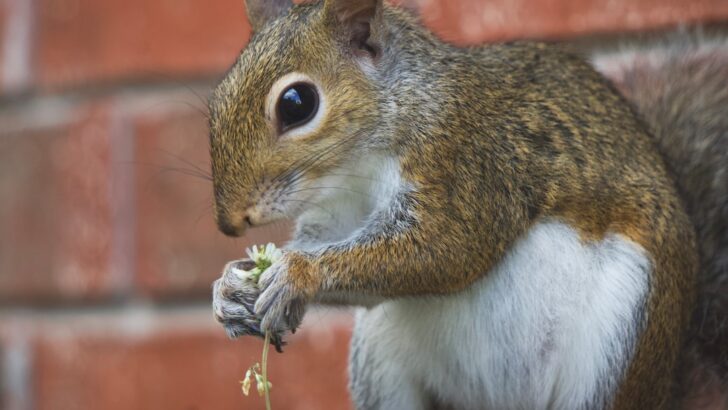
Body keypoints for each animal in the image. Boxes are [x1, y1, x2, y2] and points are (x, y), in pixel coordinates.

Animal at [209, 0, 727, 408]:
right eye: (217, 96)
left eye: (297, 103)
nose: (231, 224)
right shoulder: (338, 212)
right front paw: (231, 288)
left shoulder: (469, 162)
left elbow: (445, 250)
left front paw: (297, 275)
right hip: (379, 364)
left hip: (617, 344)